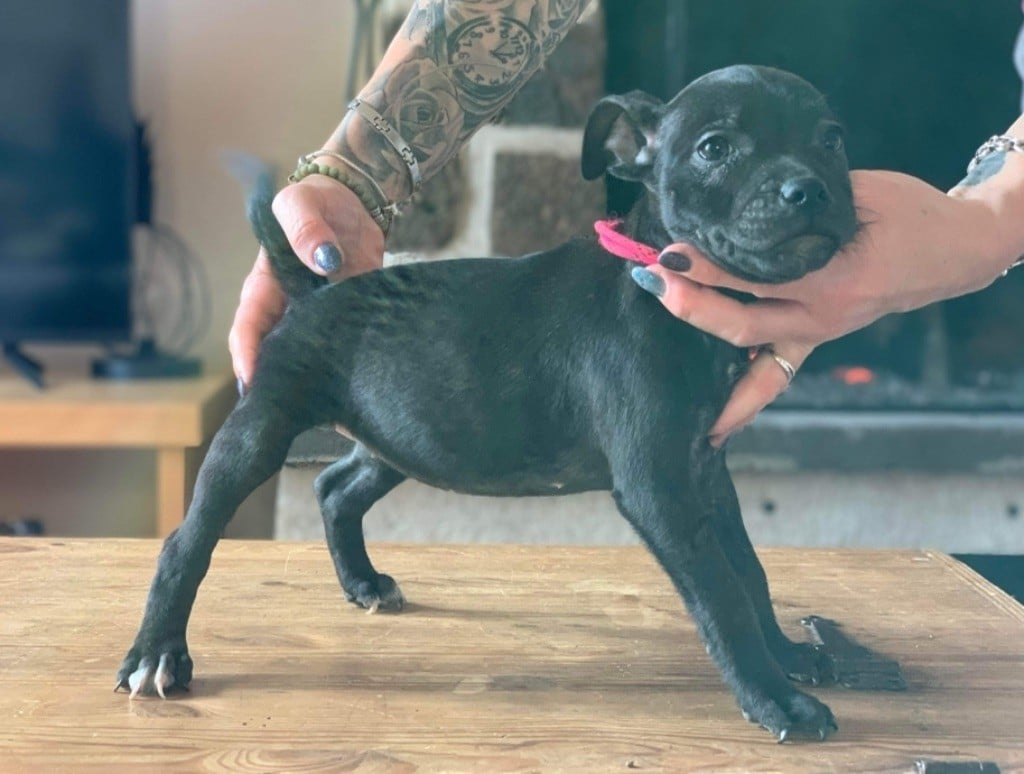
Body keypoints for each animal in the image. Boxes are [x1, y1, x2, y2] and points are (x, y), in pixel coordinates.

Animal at [116, 65, 858, 742]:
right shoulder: (662, 484)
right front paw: (774, 699)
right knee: (188, 539)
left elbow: (749, 568)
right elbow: (721, 592)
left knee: (335, 487)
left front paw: (788, 656)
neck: (658, 277)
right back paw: (158, 652)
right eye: (714, 148)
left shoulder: (705, 467)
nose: (809, 189)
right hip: (262, 428)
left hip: (402, 435)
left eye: (832, 139)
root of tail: (314, 286)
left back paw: (362, 582)